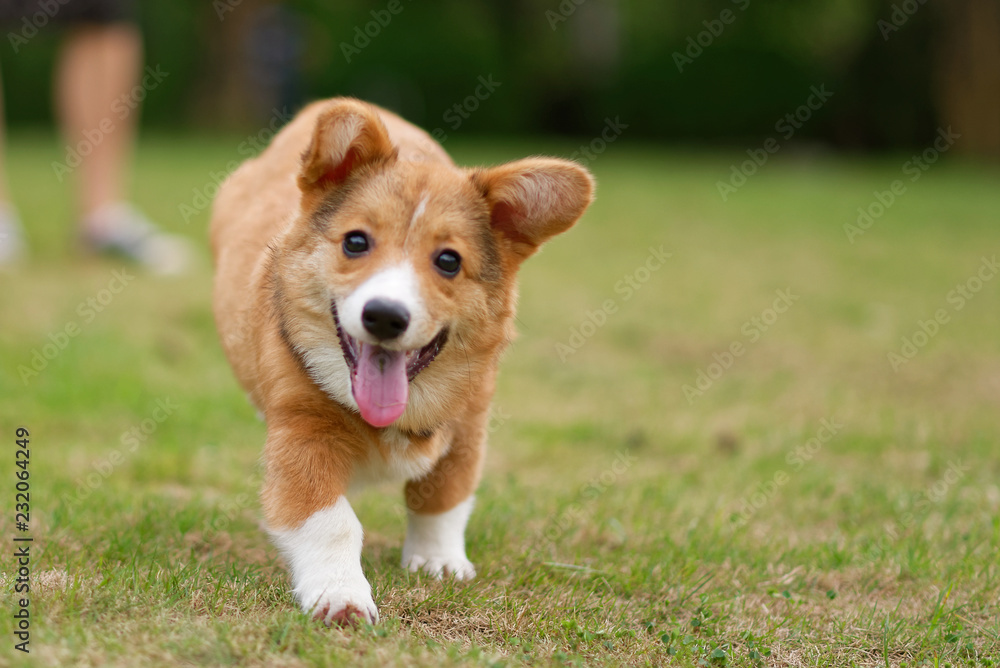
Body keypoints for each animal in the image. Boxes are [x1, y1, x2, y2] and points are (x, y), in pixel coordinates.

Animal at [210, 96, 592, 624]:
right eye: (355, 242)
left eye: (449, 261)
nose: (385, 316)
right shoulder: (302, 435)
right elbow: (332, 521)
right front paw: (342, 595)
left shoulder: (468, 427)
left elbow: (444, 496)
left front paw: (438, 561)